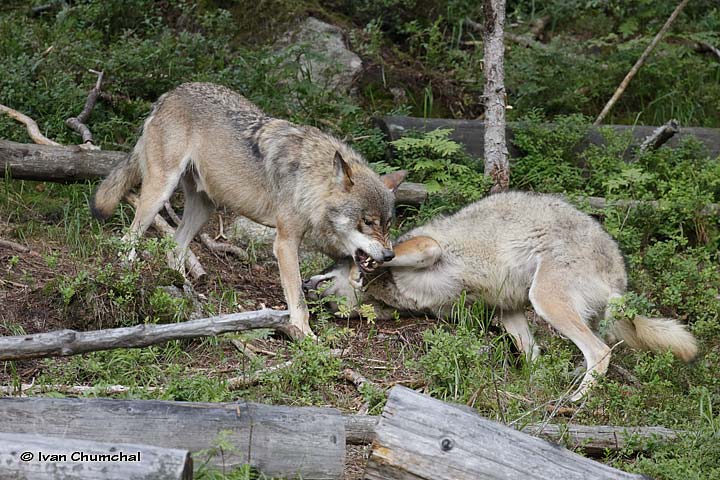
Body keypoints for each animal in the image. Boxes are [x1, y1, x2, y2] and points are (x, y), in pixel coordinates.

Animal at [90, 81, 404, 338]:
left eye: (387, 224)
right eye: (368, 222)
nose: (389, 255)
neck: (309, 179)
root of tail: (169, 94)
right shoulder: (285, 243)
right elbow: (298, 299)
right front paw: (304, 334)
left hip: (204, 207)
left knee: (175, 248)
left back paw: (186, 292)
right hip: (159, 192)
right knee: (130, 238)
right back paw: (127, 276)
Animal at [304, 190, 696, 398]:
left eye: (326, 268)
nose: (305, 286)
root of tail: (619, 274)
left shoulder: (429, 247)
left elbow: (384, 258)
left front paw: (364, 270)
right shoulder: (507, 312)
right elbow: (533, 359)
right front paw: (531, 390)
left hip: (547, 302)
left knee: (600, 354)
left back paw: (573, 402)